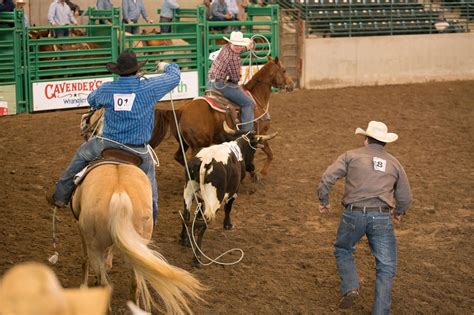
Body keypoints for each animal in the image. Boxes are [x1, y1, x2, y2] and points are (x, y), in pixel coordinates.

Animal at [150, 56, 294, 179]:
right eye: (284, 70)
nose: (292, 84)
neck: (256, 98)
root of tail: (181, 110)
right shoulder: (261, 133)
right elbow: (269, 153)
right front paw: (259, 173)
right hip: (199, 144)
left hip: (183, 142)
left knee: (179, 157)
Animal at [181, 126, 278, 266]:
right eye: (254, 150)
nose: (252, 166)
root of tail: (205, 162)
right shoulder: (234, 192)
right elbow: (228, 208)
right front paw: (228, 224)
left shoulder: (200, 197)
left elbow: (198, 211)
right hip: (214, 200)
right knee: (205, 221)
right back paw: (197, 257)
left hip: (188, 191)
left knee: (186, 215)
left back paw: (184, 239)